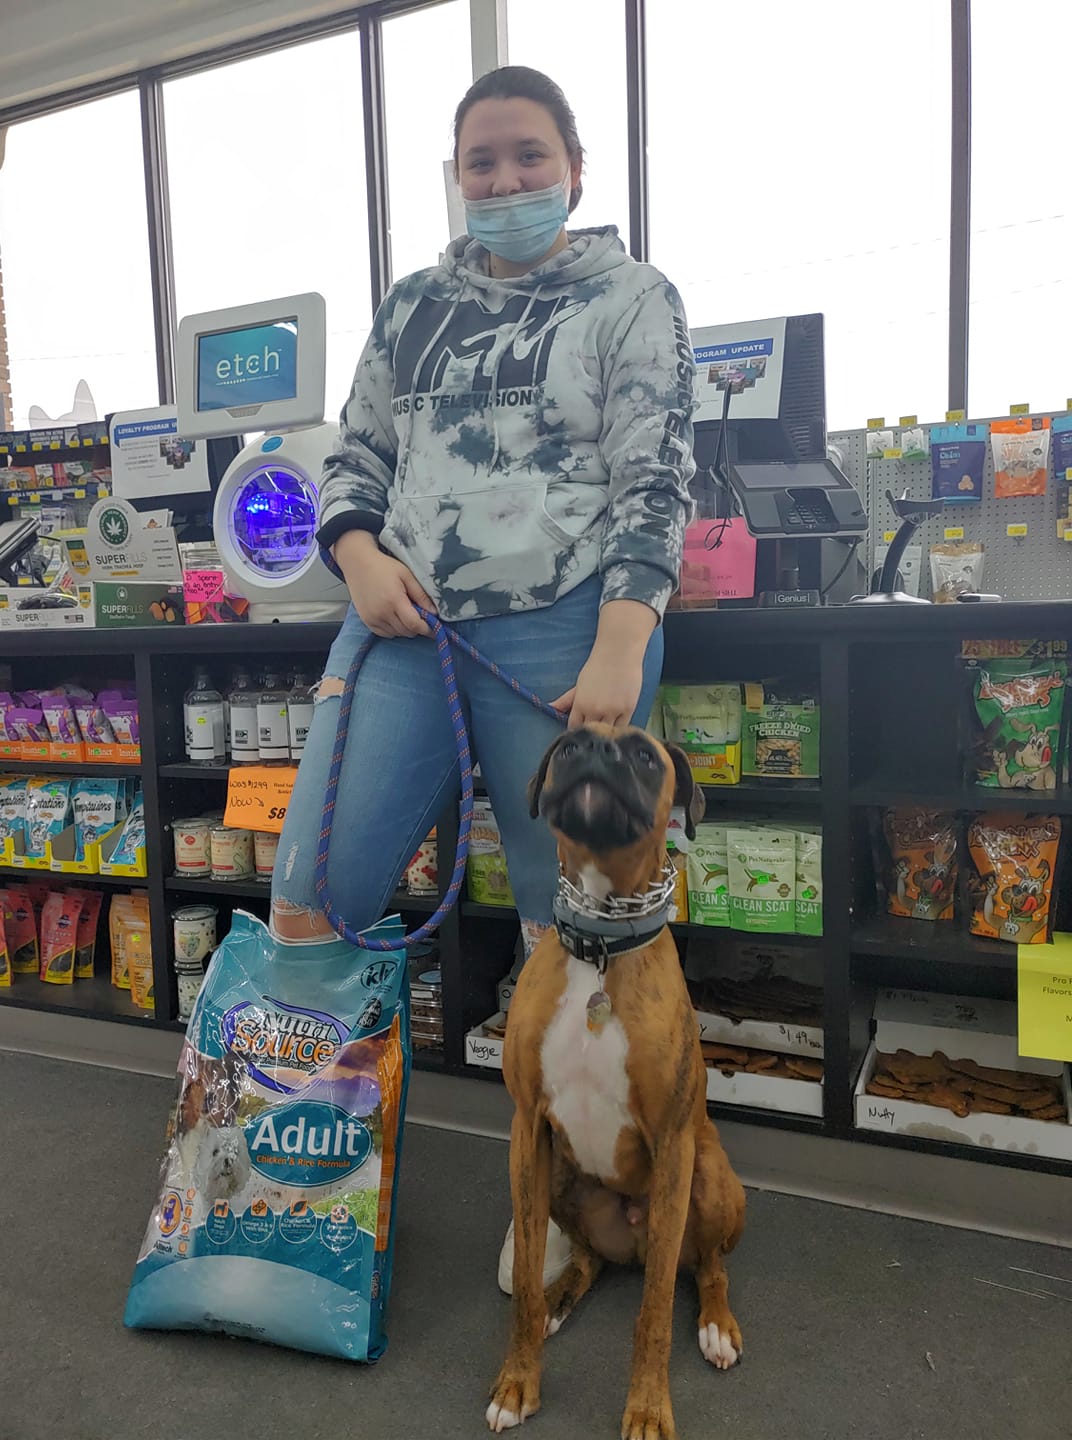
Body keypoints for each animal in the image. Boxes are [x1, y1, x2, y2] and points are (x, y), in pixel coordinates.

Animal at [487, 724, 746, 1440]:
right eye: (568, 746)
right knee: (586, 1258)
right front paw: (517, 1382)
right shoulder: (528, 1129)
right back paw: (559, 1298)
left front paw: (649, 1409)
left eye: (643, 757)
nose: (595, 754)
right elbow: (524, 1279)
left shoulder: (673, 1145)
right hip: (559, 1178)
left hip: (707, 1178)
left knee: (708, 1267)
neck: (601, 942)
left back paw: (717, 1326)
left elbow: (654, 1310)